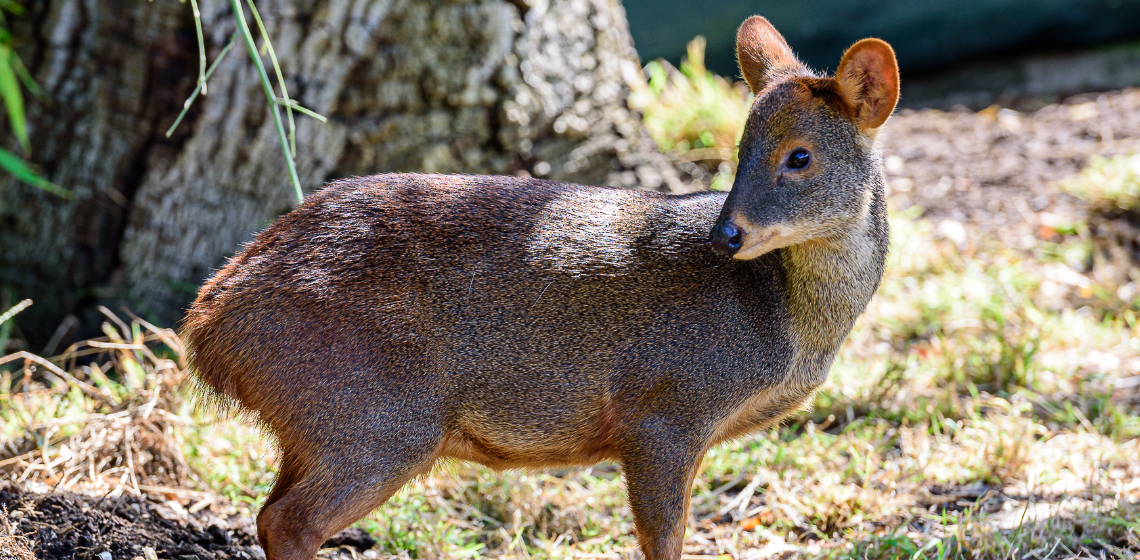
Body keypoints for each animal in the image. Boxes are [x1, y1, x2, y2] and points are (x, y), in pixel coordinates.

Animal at [181, 15, 899, 560]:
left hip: (320, 425)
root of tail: (208, 320)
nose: (726, 234)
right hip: (376, 415)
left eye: (799, 156)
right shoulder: (666, 409)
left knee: (270, 511)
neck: (794, 328)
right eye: (743, 149)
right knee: (287, 520)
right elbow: (664, 540)